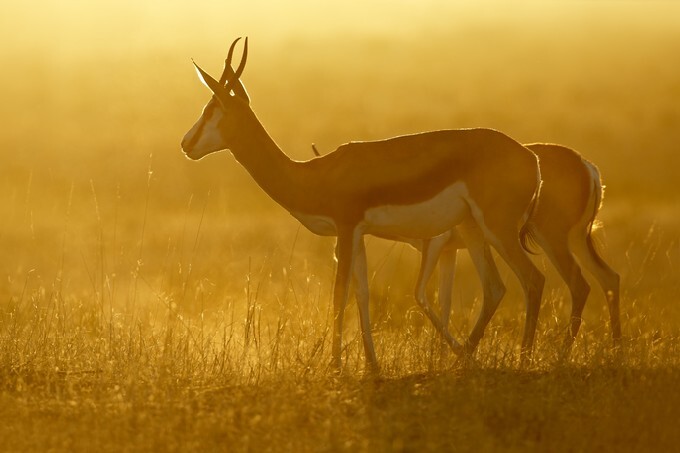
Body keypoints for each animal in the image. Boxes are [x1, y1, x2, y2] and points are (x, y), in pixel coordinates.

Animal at [181, 38, 544, 373]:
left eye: (210, 110)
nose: (186, 144)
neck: (315, 174)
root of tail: (532, 158)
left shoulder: (346, 229)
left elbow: (339, 294)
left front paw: (336, 366)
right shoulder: (358, 236)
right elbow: (362, 294)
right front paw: (372, 366)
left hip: (496, 228)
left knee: (533, 279)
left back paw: (522, 360)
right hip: (472, 228)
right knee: (495, 288)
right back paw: (464, 360)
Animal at [313, 143, 621, 355]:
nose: (337, 252)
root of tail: (587, 167)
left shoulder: (435, 245)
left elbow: (426, 296)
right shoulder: (449, 253)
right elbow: (444, 302)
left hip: (552, 241)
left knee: (576, 284)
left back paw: (557, 357)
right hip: (576, 241)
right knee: (609, 278)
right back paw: (615, 354)